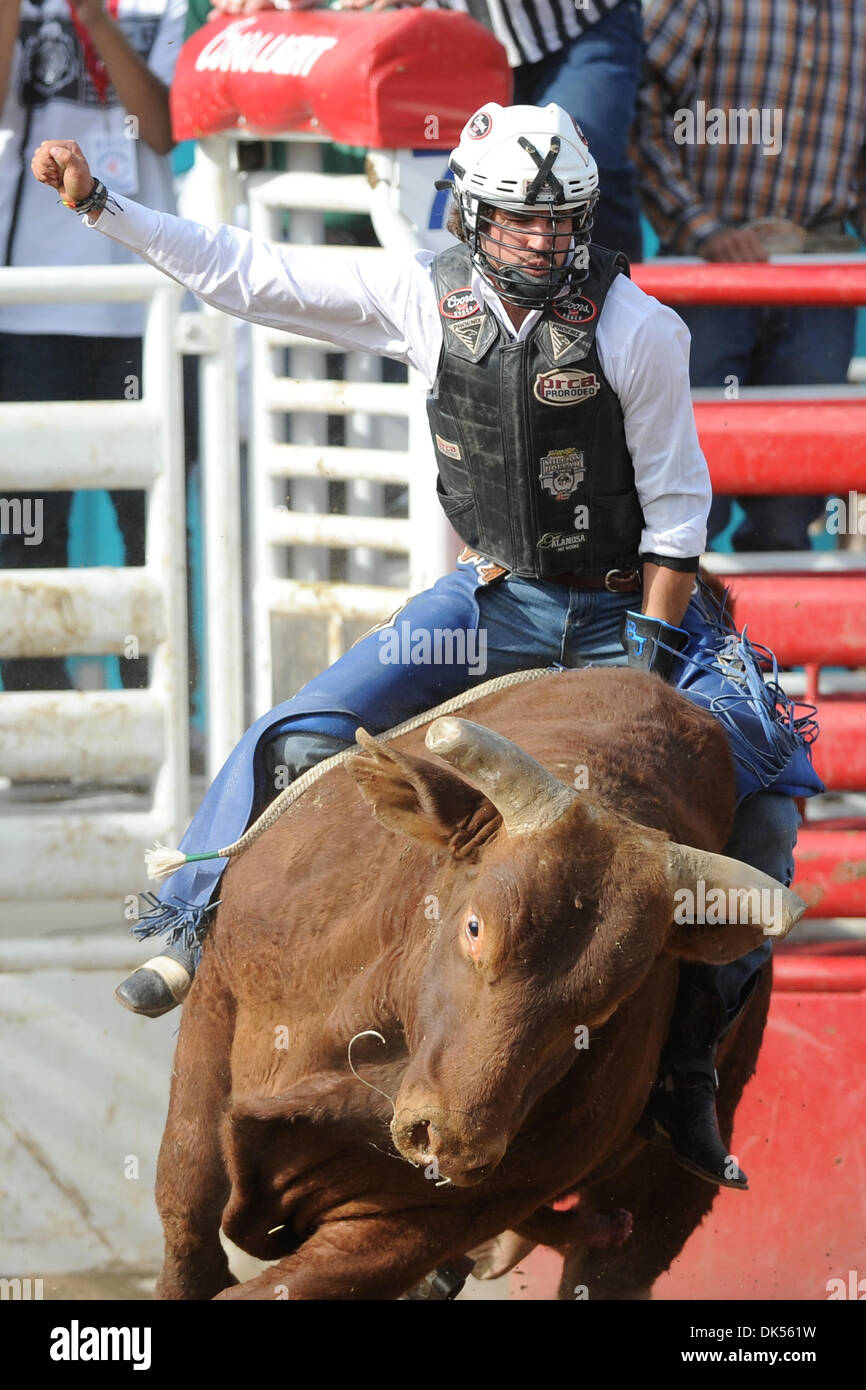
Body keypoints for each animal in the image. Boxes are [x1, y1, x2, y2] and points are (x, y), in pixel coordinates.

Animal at [154, 667, 800, 1295]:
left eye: (609, 1002)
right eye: (475, 927)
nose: (454, 1141)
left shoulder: (439, 1216)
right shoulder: (217, 1000)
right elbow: (187, 1202)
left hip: (666, 1190)